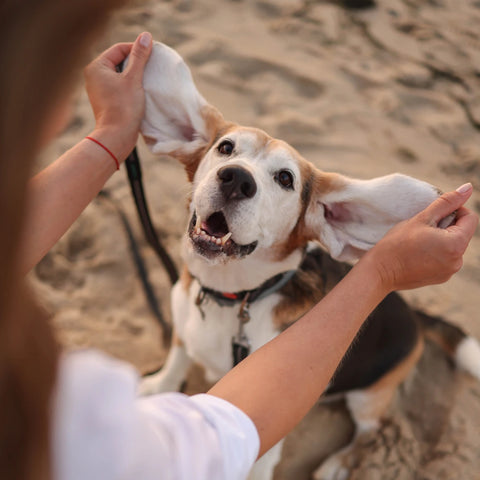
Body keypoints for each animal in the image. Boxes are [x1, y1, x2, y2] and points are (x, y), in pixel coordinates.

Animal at [136, 42, 480, 480]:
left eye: (285, 179)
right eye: (225, 147)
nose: (236, 179)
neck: (232, 296)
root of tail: (415, 315)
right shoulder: (183, 327)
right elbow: (177, 361)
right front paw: (155, 388)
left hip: (368, 396)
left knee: (372, 430)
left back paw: (338, 463)